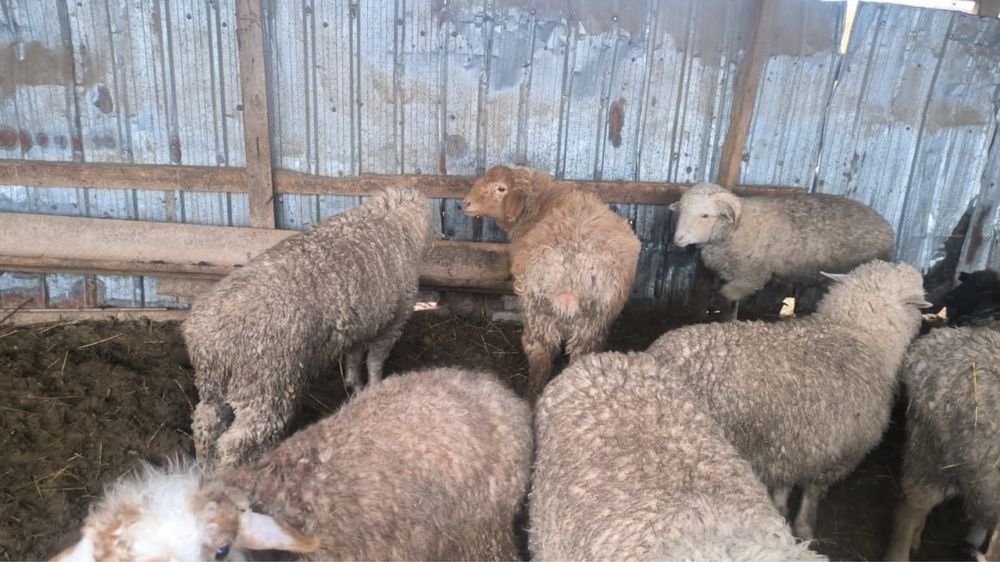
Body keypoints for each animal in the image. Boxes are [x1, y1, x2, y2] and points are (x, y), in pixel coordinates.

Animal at [183, 187, 436, 470]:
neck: (393, 219)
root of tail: (213, 338)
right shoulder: (390, 324)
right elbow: (375, 362)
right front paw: (374, 385)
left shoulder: (362, 323)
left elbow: (354, 355)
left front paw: (354, 383)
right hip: (265, 384)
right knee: (239, 441)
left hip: (214, 383)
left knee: (206, 421)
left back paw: (203, 464)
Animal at [462, 165, 641, 401]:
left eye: (501, 188)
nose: (465, 203)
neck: (542, 205)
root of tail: (570, 273)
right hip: (585, 321)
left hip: (540, 312)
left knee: (540, 354)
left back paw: (532, 394)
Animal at [645, 260, 930, 540]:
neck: (857, 334)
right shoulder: (834, 455)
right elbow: (812, 495)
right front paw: (805, 530)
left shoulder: (789, 448)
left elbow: (783, 487)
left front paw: (782, 514)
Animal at [670, 182, 894, 318]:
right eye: (680, 211)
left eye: (705, 215)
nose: (678, 239)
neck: (737, 227)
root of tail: (888, 228)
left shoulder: (752, 276)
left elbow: (725, 298)